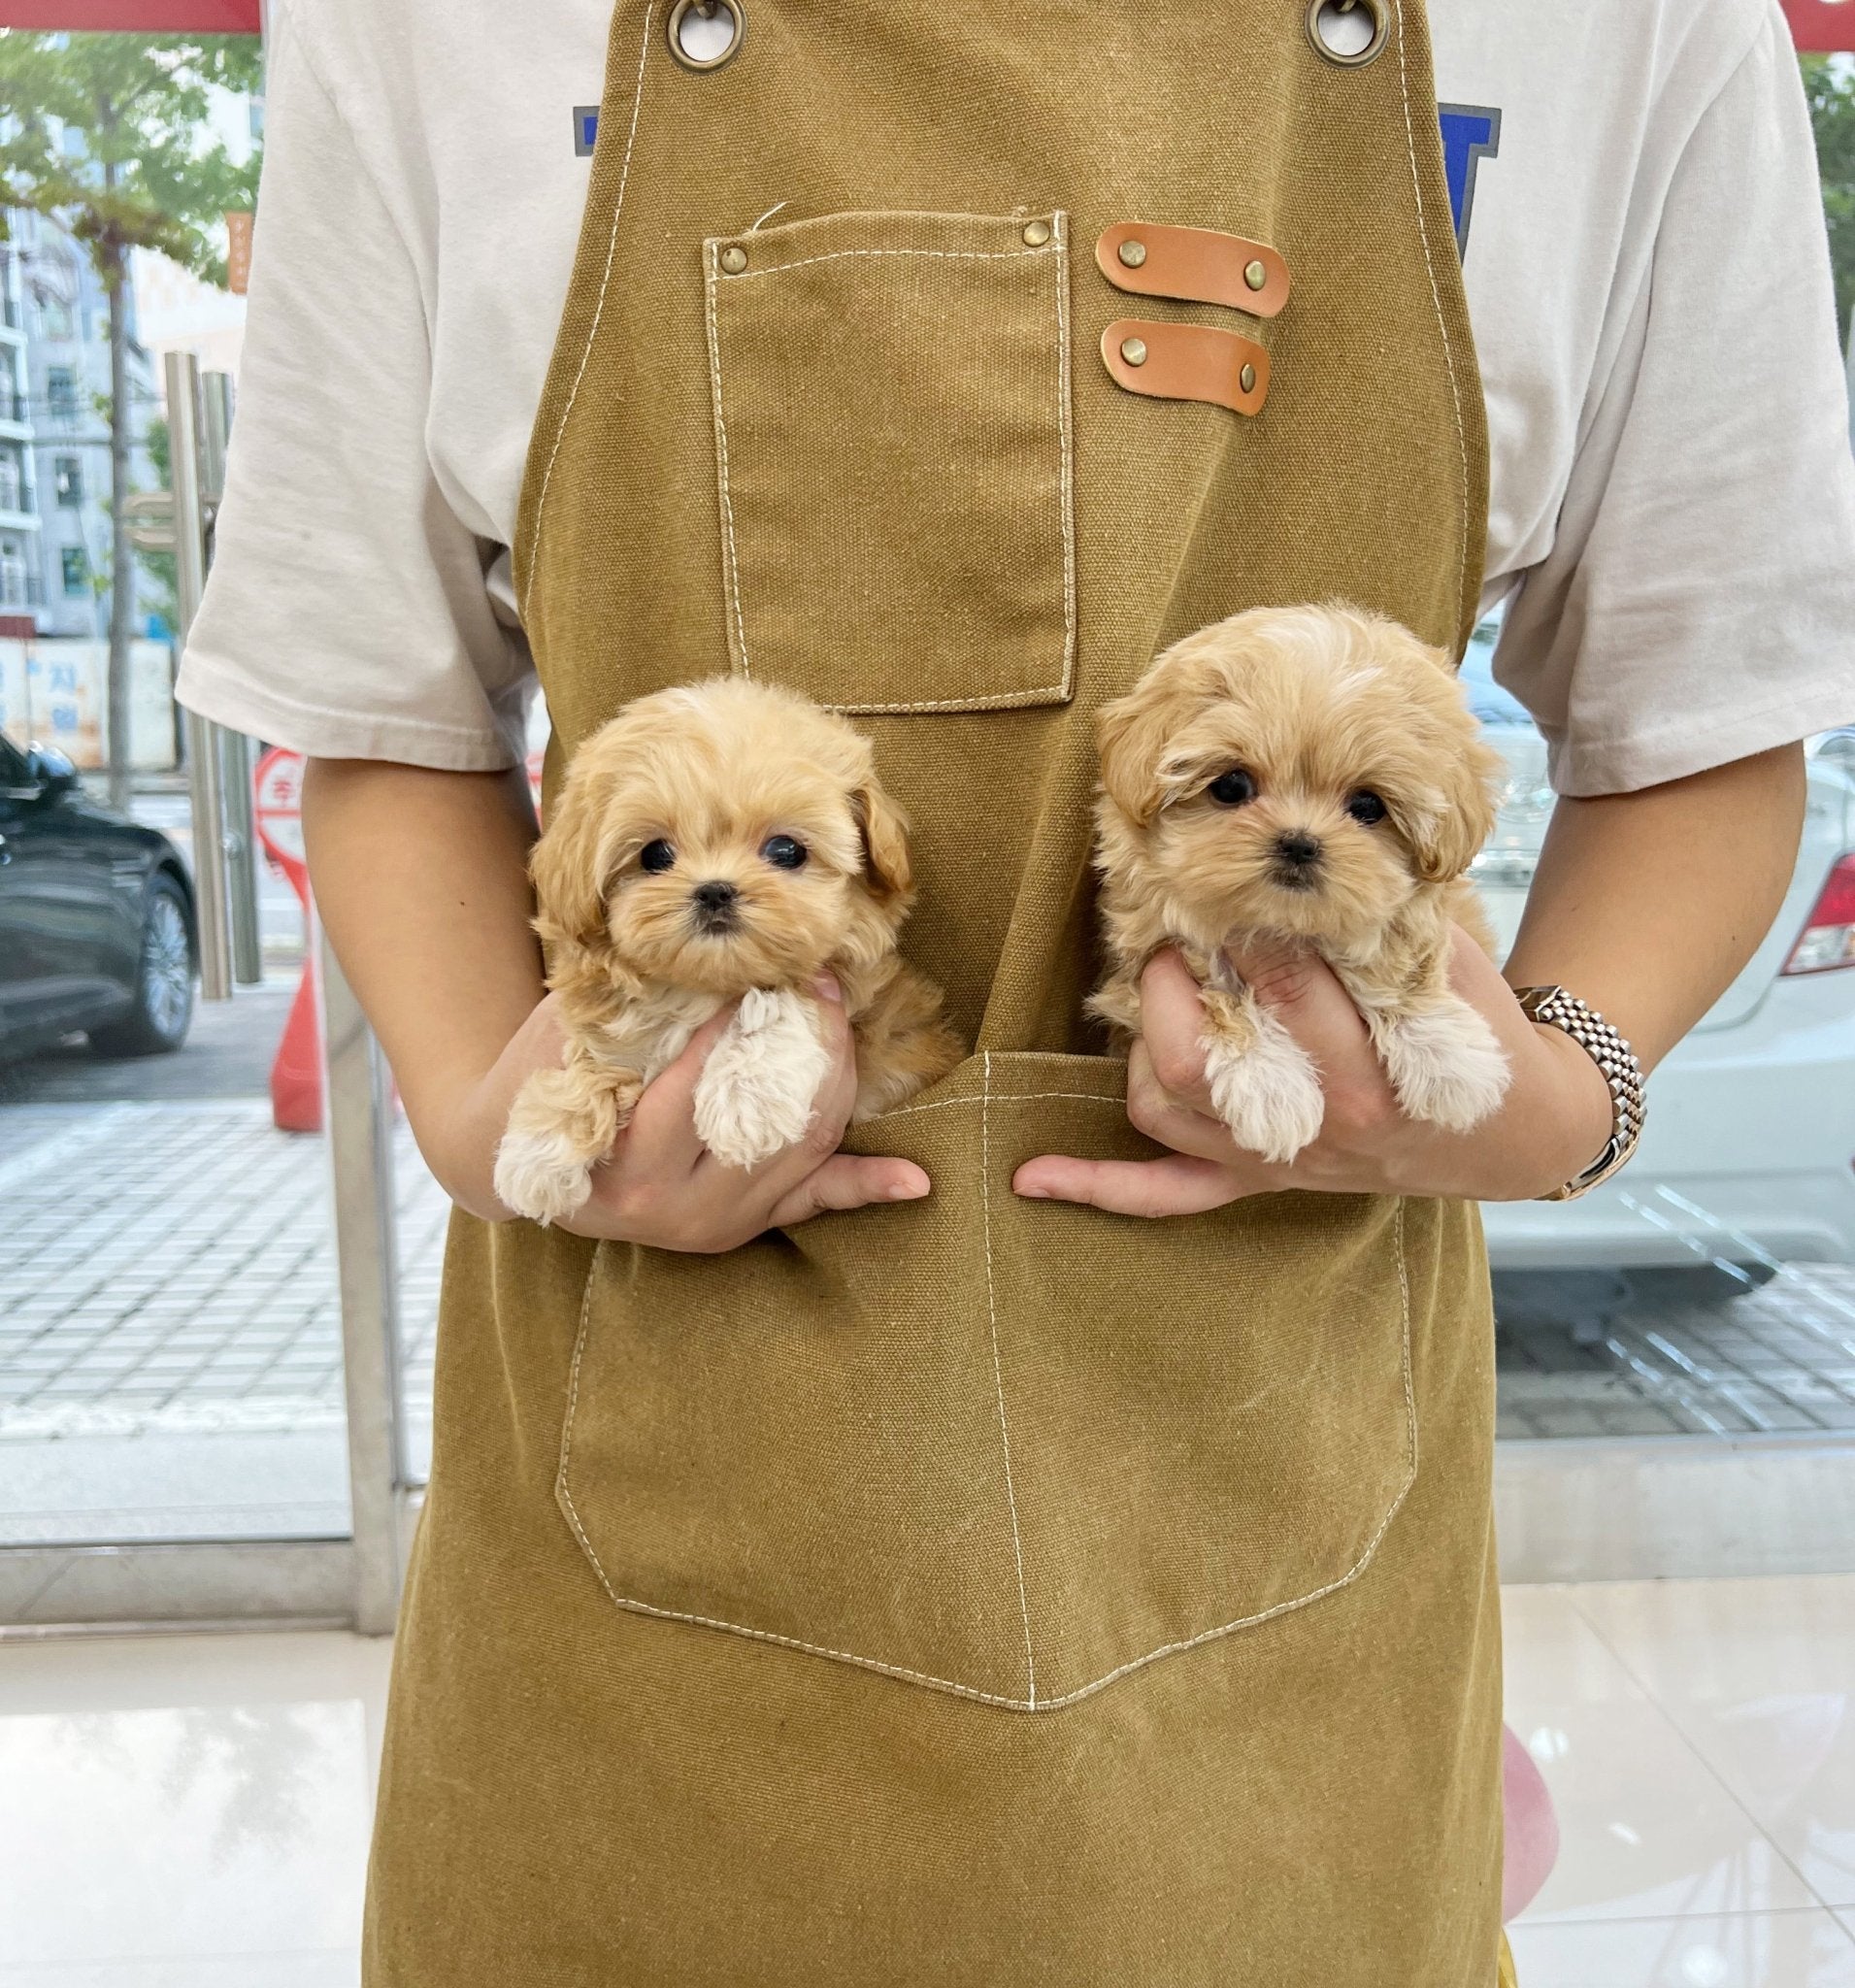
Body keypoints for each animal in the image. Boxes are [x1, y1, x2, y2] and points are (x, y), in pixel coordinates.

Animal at [495, 676, 954, 1216]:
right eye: (655, 855)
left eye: (786, 850)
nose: (714, 890)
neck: (702, 989)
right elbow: (587, 1065)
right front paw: (537, 1149)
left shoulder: (859, 1001)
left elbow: (782, 1002)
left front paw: (747, 1098)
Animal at [1089, 604, 1510, 1161]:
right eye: (1231, 785)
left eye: (1368, 806)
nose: (1299, 843)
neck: (1283, 925)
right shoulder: (1148, 952)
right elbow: (1221, 986)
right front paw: (1268, 1084)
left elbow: (1401, 964)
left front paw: (1448, 1059)